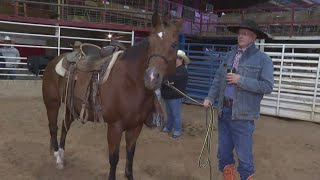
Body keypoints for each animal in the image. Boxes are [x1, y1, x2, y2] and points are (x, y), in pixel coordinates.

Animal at [41, 12, 184, 180]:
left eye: (174, 44)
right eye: (150, 42)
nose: (151, 77)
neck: (130, 82)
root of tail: (54, 61)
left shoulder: (136, 127)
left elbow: (130, 153)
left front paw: (129, 176)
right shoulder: (115, 126)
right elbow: (114, 157)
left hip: (71, 107)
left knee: (64, 126)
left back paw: (62, 156)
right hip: (52, 104)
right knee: (53, 128)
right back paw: (57, 157)